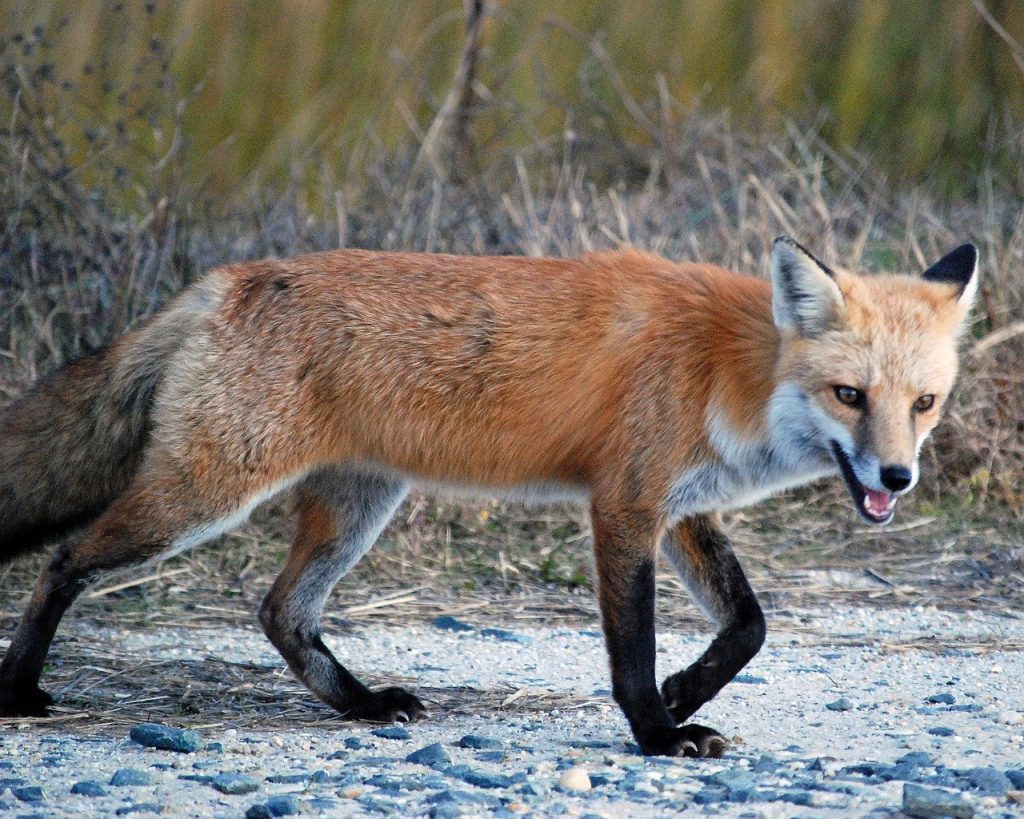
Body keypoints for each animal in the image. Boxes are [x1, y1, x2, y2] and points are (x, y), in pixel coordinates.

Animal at [0, 237, 977, 756]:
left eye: (924, 403)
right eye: (850, 395)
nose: (897, 478)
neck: (723, 368)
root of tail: (226, 281)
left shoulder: (682, 505)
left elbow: (749, 624)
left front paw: (687, 692)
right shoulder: (625, 504)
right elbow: (631, 650)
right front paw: (659, 732)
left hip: (355, 507)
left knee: (281, 610)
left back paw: (360, 704)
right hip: (206, 494)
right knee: (64, 560)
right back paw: (18, 687)